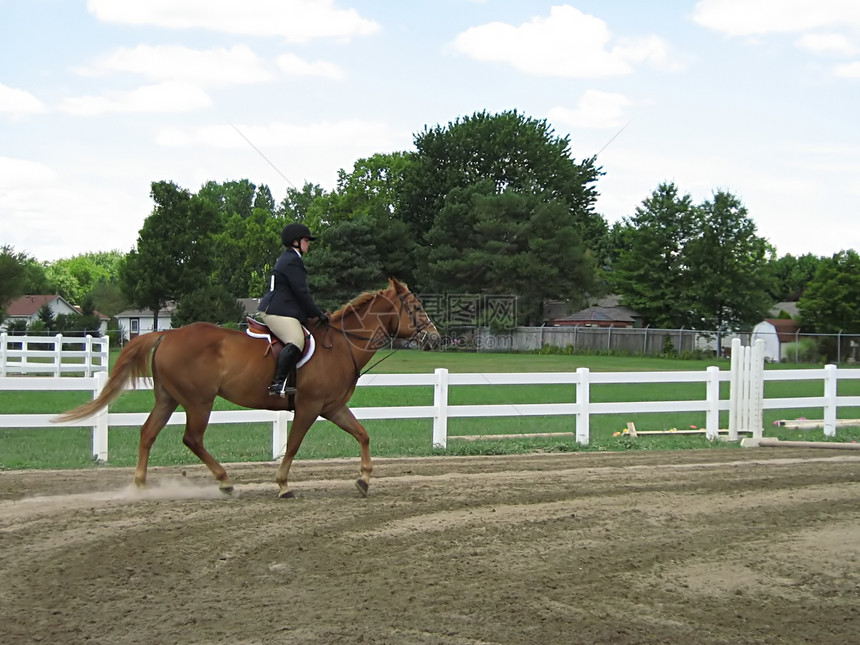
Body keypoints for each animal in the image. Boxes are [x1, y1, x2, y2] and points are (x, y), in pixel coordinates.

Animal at [57, 278, 440, 498]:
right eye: (417, 306)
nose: (435, 338)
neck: (342, 344)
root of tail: (168, 333)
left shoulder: (332, 407)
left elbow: (362, 434)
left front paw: (364, 480)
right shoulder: (309, 407)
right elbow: (293, 445)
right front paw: (283, 485)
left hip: (168, 398)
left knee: (148, 433)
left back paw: (140, 486)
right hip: (199, 401)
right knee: (192, 439)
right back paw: (225, 481)